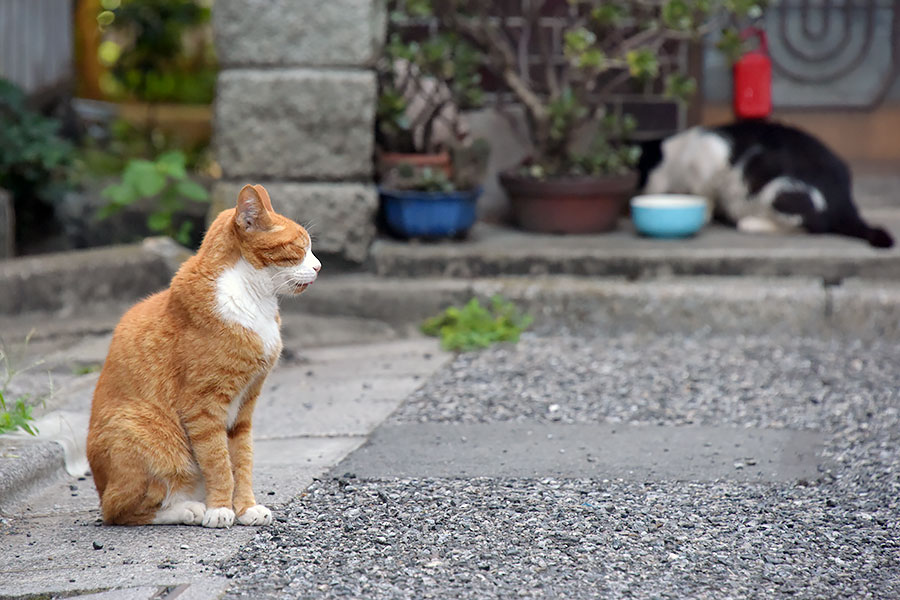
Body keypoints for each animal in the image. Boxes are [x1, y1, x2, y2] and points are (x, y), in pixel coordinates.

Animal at [88, 183, 320, 524]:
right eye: (300, 247)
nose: (319, 266)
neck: (253, 299)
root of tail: (101, 486)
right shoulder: (203, 406)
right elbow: (218, 462)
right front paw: (221, 508)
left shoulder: (245, 406)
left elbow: (242, 461)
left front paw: (246, 508)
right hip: (139, 430)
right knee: (122, 510)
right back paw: (189, 509)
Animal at [640, 122, 892, 248]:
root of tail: (847, 204)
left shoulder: (711, 156)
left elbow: (705, 193)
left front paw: (705, 212)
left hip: (778, 188)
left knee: (813, 226)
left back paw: (749, 222)